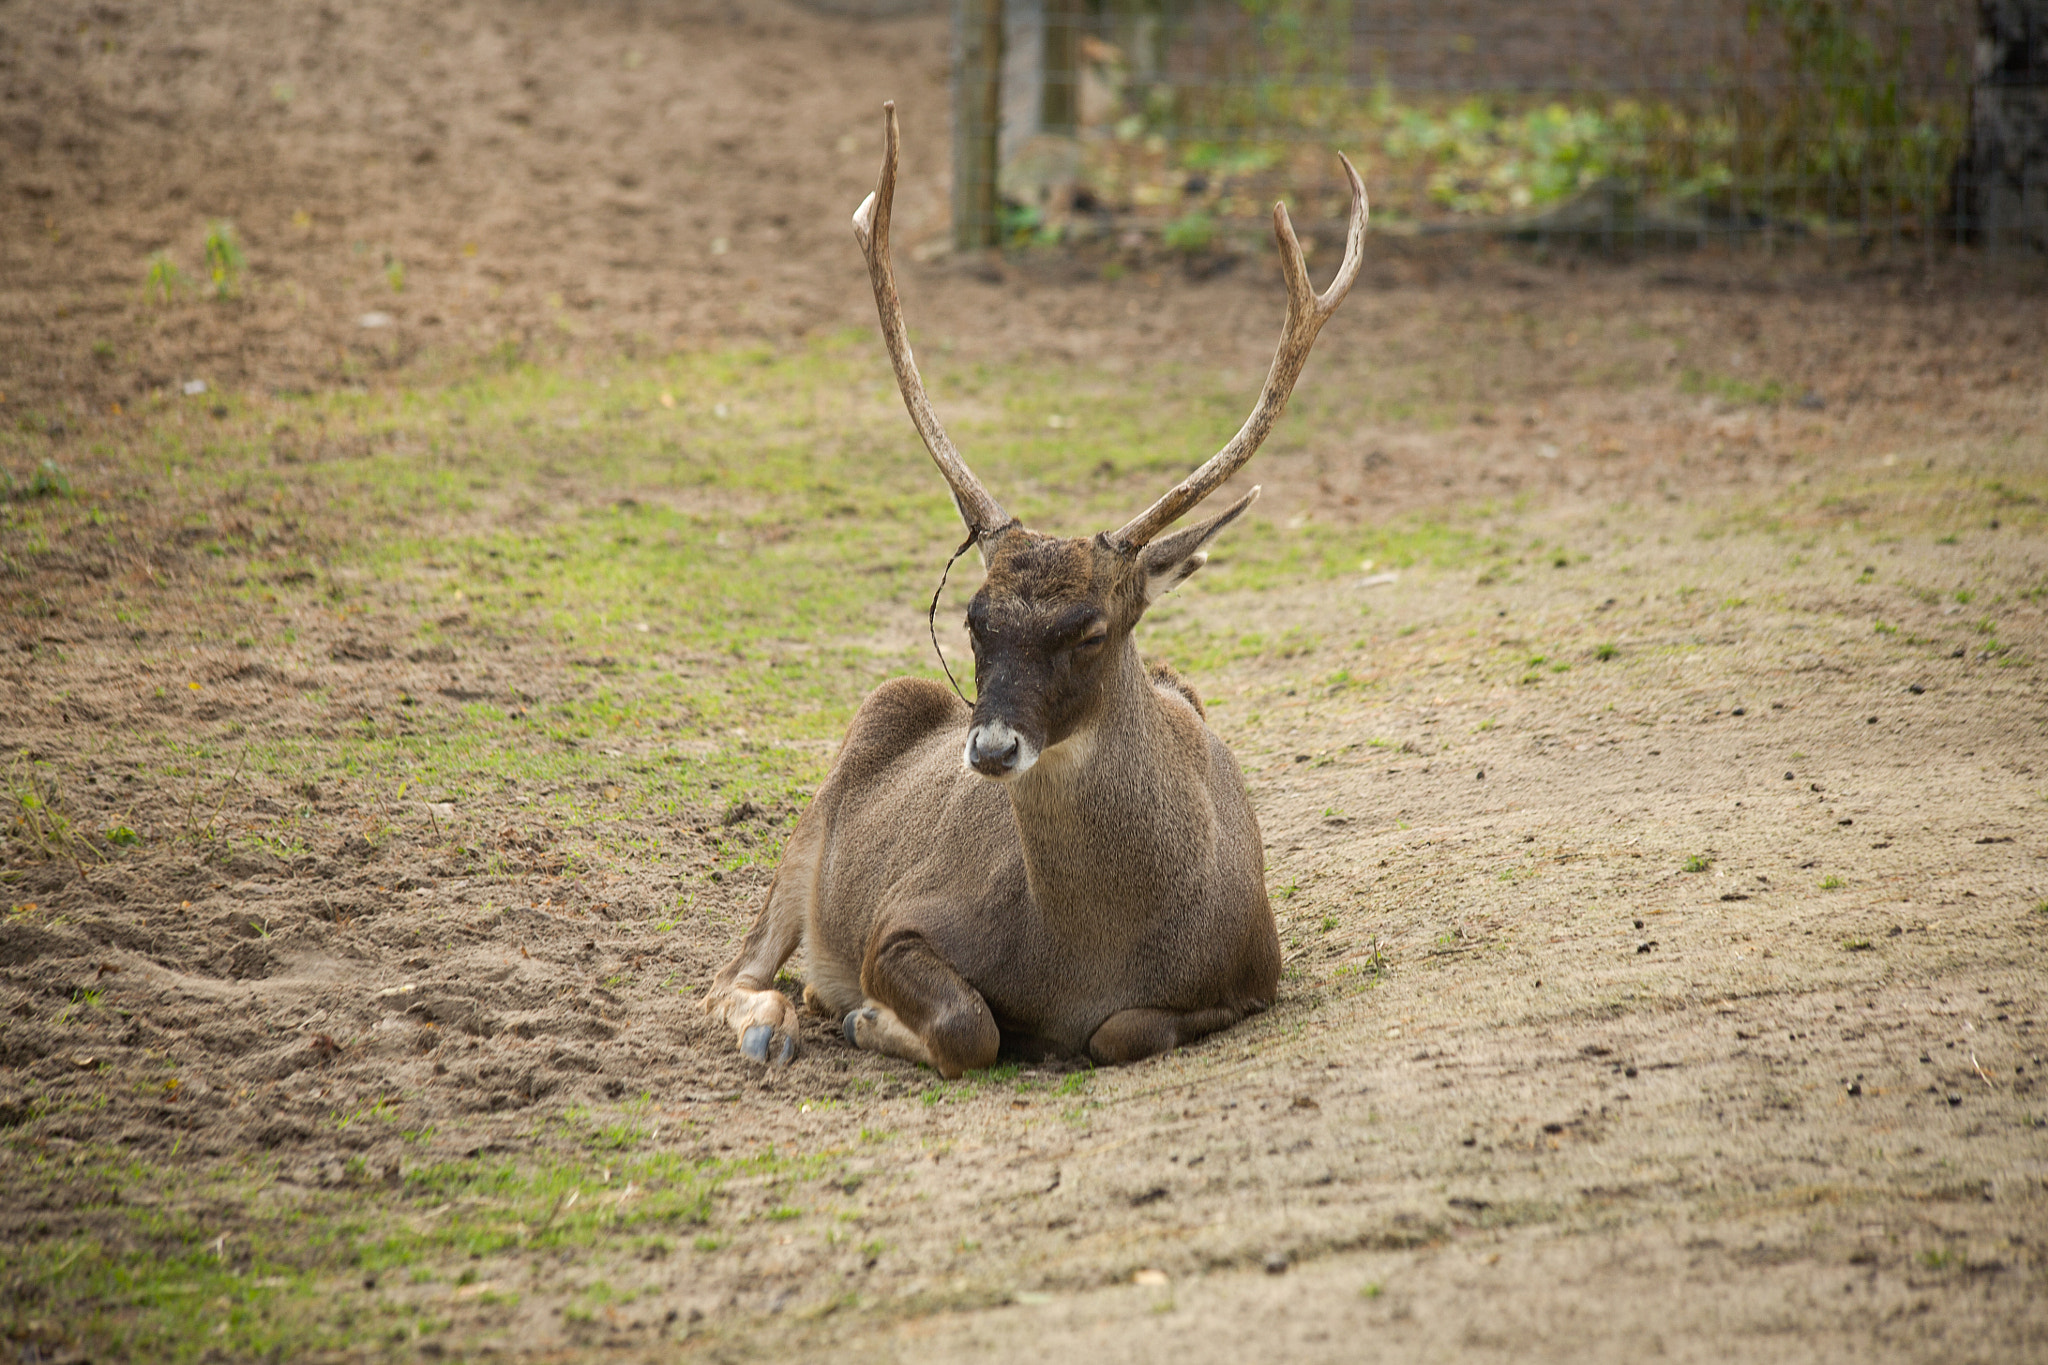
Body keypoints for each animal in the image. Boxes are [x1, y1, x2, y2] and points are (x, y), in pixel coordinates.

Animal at [704, 102, 1367, 1078]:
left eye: (1092, 631)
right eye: (974, 620)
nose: (989, 748)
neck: (1084, 953)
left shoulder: (1253, 973)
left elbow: (1124, 1031)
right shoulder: (900, 918)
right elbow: (969, 1024)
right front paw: (867, 1017)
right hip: (813, 825)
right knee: (733, 969)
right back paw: (772, 1023)